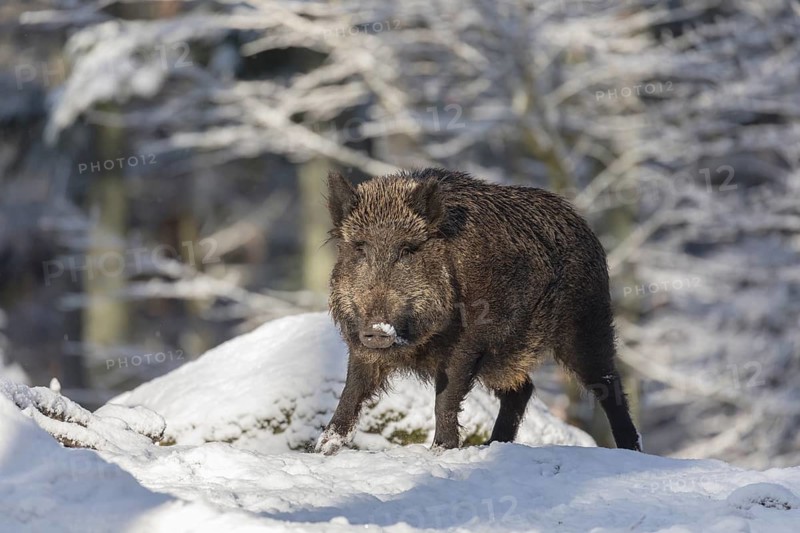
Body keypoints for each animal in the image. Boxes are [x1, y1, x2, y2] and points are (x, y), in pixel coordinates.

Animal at [315, 168, 641, 454]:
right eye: (359, 248)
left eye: (408, 250)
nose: (379, 329)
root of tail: (583, 225)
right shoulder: (360, 343)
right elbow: (351, 392)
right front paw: (323, 449)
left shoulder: (469, 343)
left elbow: (445, 398)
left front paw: (441, 450)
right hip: (504, 356)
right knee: (522, 389)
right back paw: (492, 446)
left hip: (586, 323)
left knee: (608, 384)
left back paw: (631, 450)